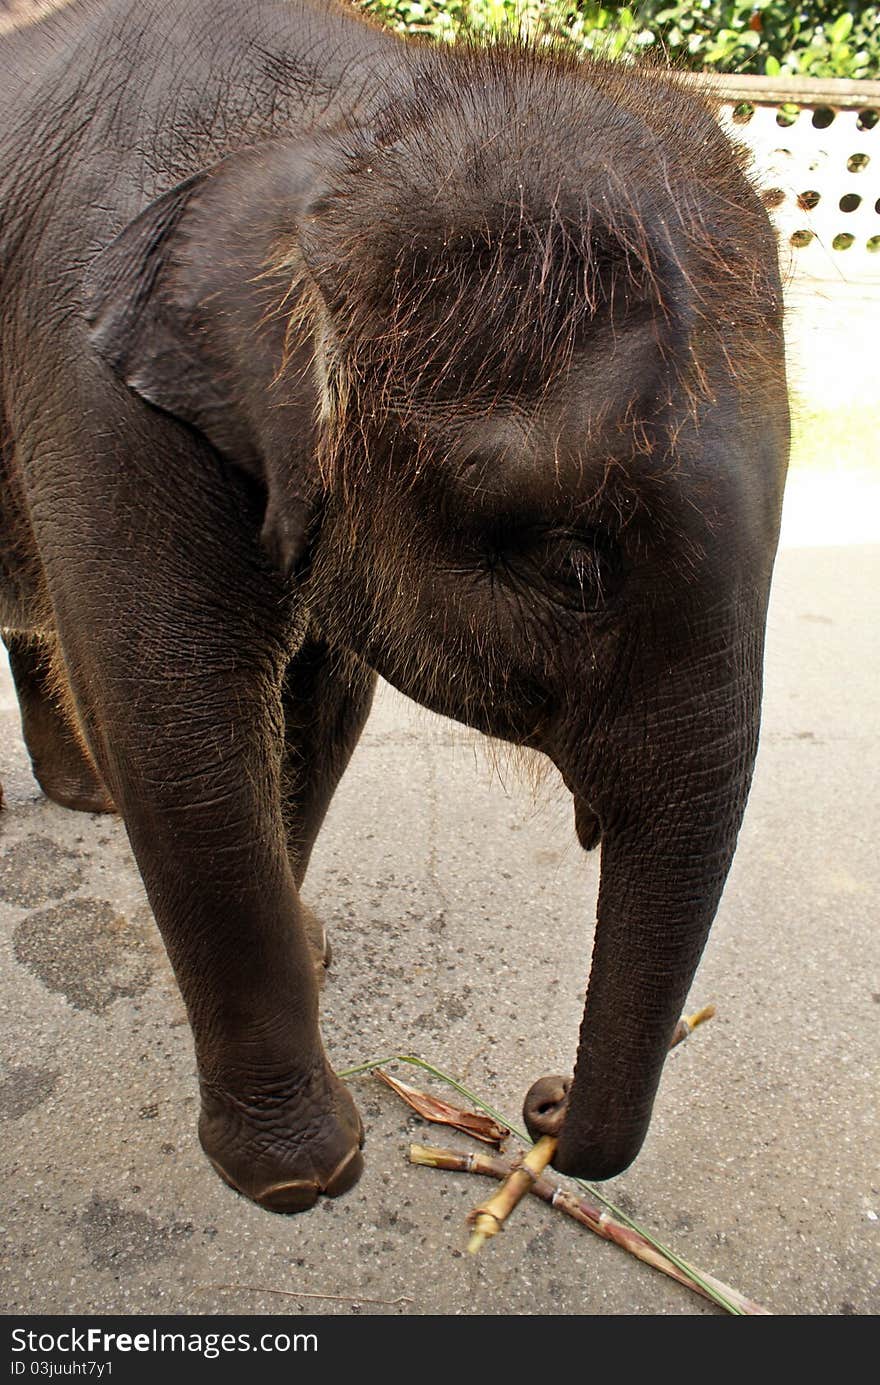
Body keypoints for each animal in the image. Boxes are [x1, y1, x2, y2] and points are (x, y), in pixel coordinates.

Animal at [0, 0, 792, 1213]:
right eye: (572, 568)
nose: (539, 1103)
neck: (367, 114)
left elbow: (320, 704)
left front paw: (314, 951)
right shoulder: (89, 389)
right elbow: (172, 720)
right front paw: (304, 1176)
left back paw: (82, 798)